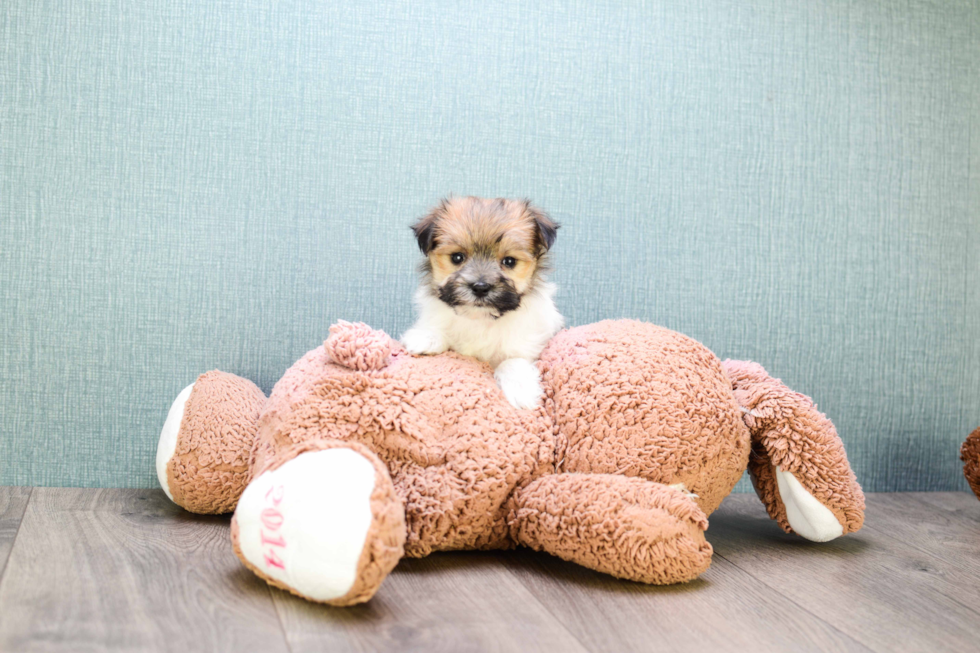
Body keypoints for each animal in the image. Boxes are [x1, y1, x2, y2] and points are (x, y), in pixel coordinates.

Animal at [400, 196, 568, 408]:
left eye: (509, 261)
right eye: (457, 257)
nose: (480, 287)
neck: (480, 319)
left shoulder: (525, 345)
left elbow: (512, 361)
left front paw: (521, 389)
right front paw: (426, 338)